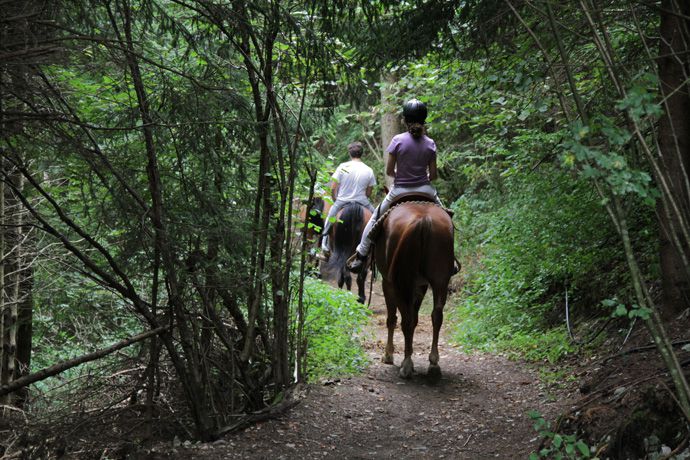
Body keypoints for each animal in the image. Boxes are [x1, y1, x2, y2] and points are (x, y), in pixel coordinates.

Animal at [374, 200, 454, 378]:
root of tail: (424, 221)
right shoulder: (421, 285)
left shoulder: (387, 283)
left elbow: (392, 318)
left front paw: (388, 355)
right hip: (440, 279)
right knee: (437, 315)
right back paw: (433, 364)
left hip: (401, 282)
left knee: (406, 319)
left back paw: (407, 365)